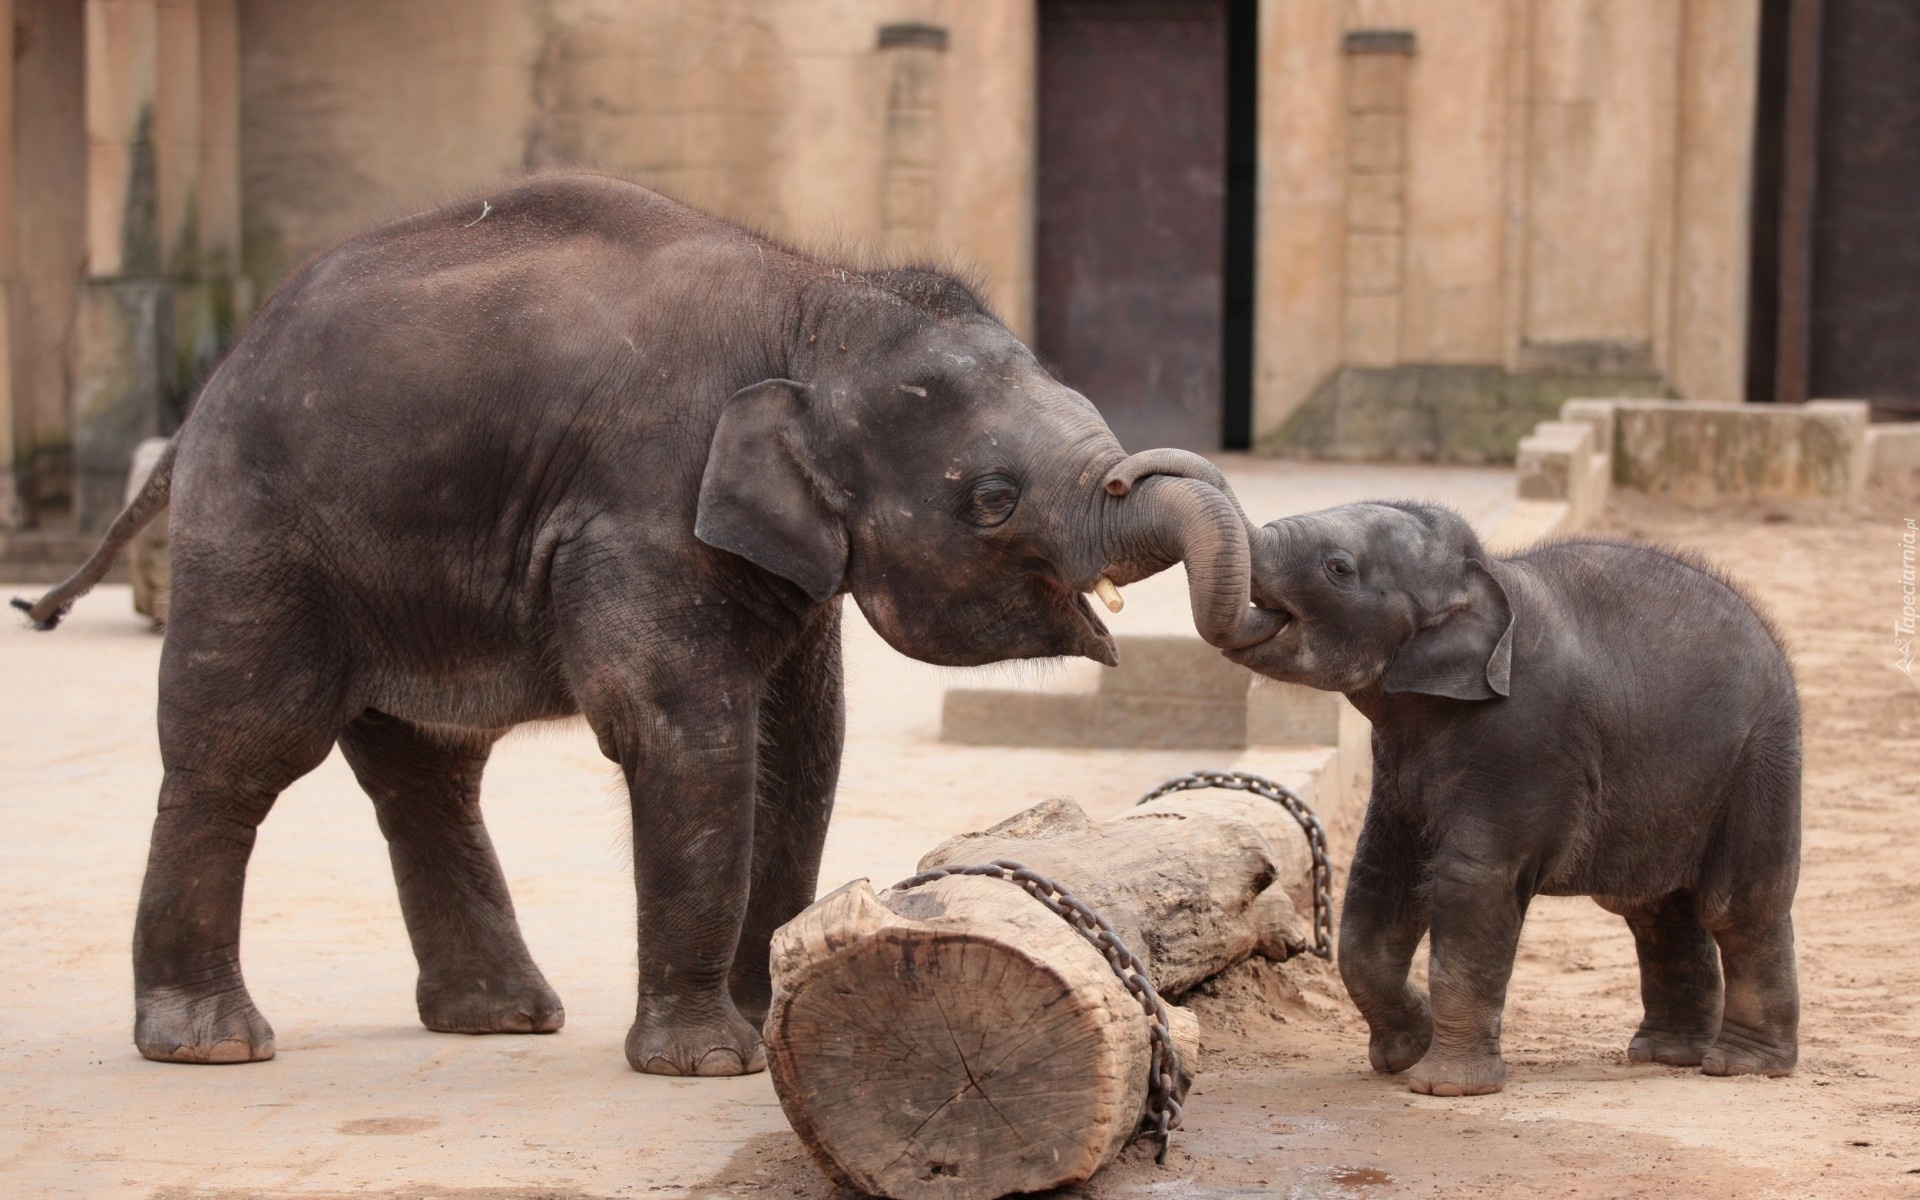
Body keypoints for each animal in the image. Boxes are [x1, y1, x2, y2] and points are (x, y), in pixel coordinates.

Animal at [15, 175, 1282, 1075]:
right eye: (992, 498)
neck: (814, 304)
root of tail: (202, 403)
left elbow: (802, 749)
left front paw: (770, 1018)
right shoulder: (644, 507)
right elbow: (687, 738)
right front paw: (710, 1062)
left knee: (427, 772)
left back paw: (502, 1021)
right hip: (261, 540)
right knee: (241, 752)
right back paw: (212, 1043)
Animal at [1228, 503, 1797, 1098]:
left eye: (1338, 567)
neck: (1485, 575)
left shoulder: (1525, 739)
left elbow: (1473, 880)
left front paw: (1445, 1087)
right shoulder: (1393, 767)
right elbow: (1380, 878)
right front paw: (1408, 1052)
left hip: (1761, 761)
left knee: (1738, 907)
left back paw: (1741, 1065)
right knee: (1652, 907)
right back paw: (1664, 1055)